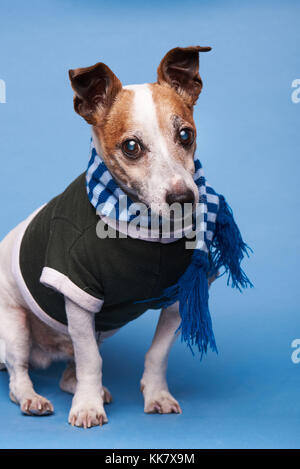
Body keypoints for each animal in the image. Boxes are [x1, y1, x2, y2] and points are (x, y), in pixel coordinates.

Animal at [0, 46, 213, 428]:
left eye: (185, 135)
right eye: (131, 146)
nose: (183, 197)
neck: (147, 229)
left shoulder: (176, 297)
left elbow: (157, 354)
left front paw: (156, 395)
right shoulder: (78, 294)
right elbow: (91, 362)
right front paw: (87, 407)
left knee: (68, 373)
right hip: (15, 327)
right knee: (18, 374)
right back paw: (33, 398)